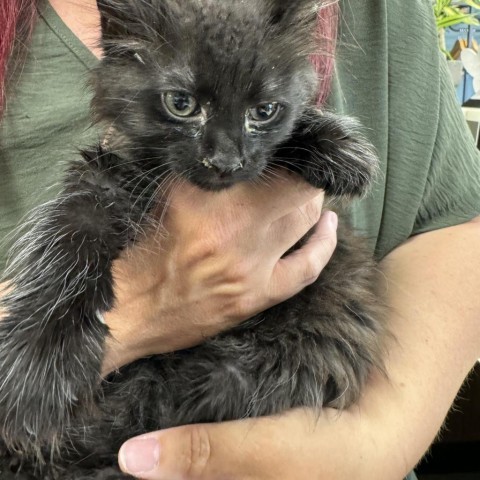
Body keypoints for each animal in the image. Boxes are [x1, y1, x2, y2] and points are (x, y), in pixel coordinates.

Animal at [0, 1, 382, 478]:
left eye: (264, 111)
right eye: (181, 105)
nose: (225, 161)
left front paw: (340, 148)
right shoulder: (108, 178)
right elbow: (71, 233)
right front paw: (39, 360)